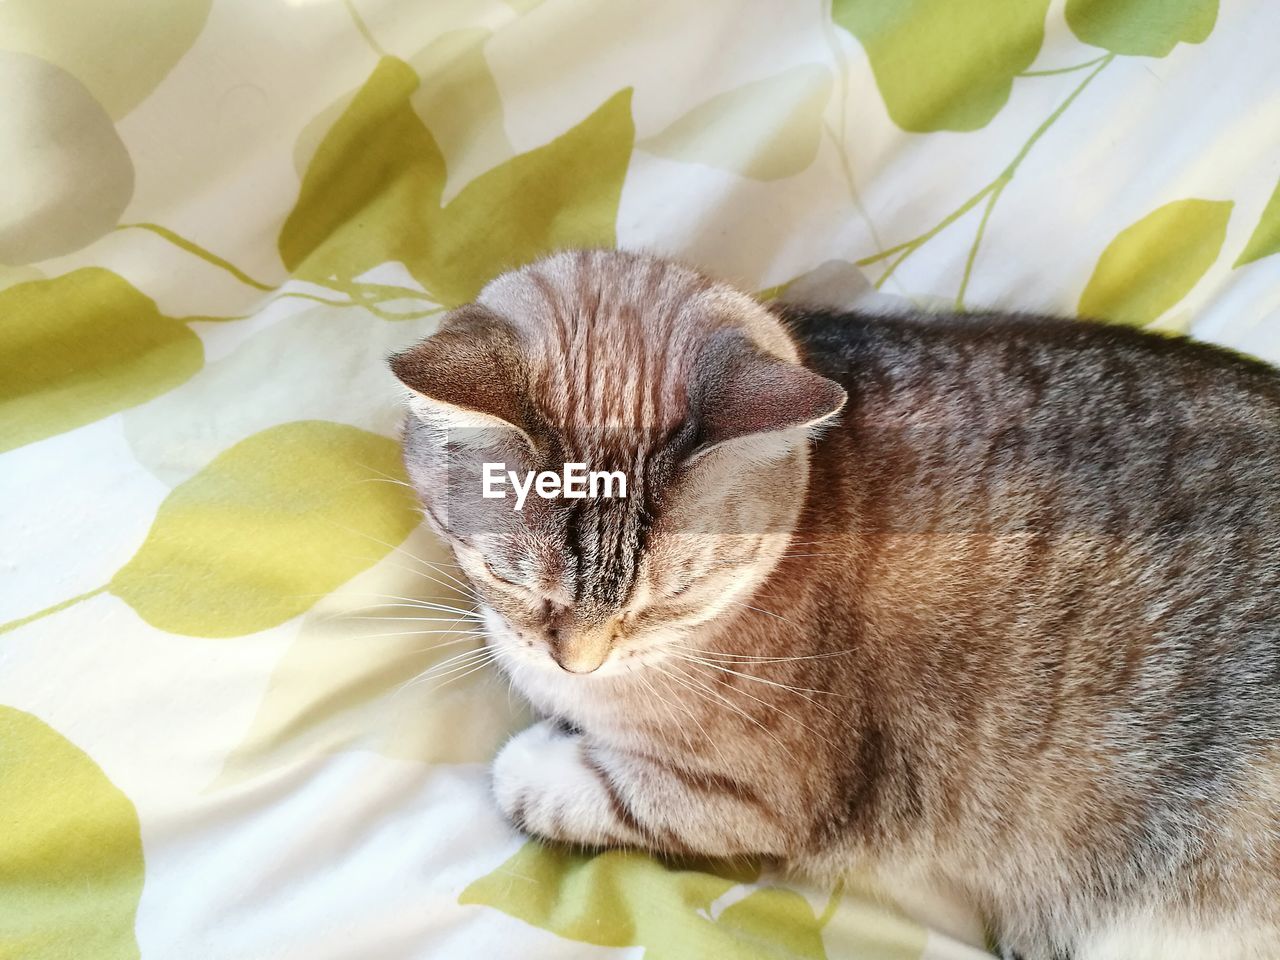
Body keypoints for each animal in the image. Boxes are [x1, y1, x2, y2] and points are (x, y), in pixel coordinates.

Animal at [389, 249, 1280, 960]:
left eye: (673, 597)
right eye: (512, 579)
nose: (577, 660)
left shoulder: (763, 801)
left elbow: (586, 790)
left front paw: (535, 757)